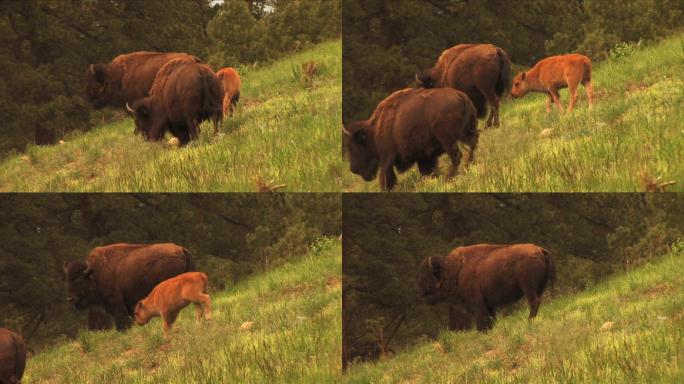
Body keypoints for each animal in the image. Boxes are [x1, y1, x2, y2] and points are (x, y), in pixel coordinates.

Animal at [63, 243, 195, 330]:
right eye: (68, 281)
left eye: (80, 280)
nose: (70, 299)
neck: (94, 274)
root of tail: (182, 250)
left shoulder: (116, 304)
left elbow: (122, 322)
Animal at [342, 87, 480, 190]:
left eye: (353, 146)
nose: (353, 169)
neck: (374, 130)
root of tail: (462, 96)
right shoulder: (425, 157)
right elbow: (427, 171)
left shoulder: (387, 156)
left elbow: (386, 177)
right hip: (467, 132)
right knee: (472, 146)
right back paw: (468, 167)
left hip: (447, 140)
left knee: (457, 156)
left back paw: (449, 177)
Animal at [416, 244, 556, 332]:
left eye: (428, 274)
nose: (420, 289)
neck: (455, 270)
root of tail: (541, 250)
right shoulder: (489, 304)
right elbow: (490, 318)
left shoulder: (477, 304)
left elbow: (482, 319)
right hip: (539, 287)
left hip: (528, 288)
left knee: (534, 302)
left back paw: (529, 320)